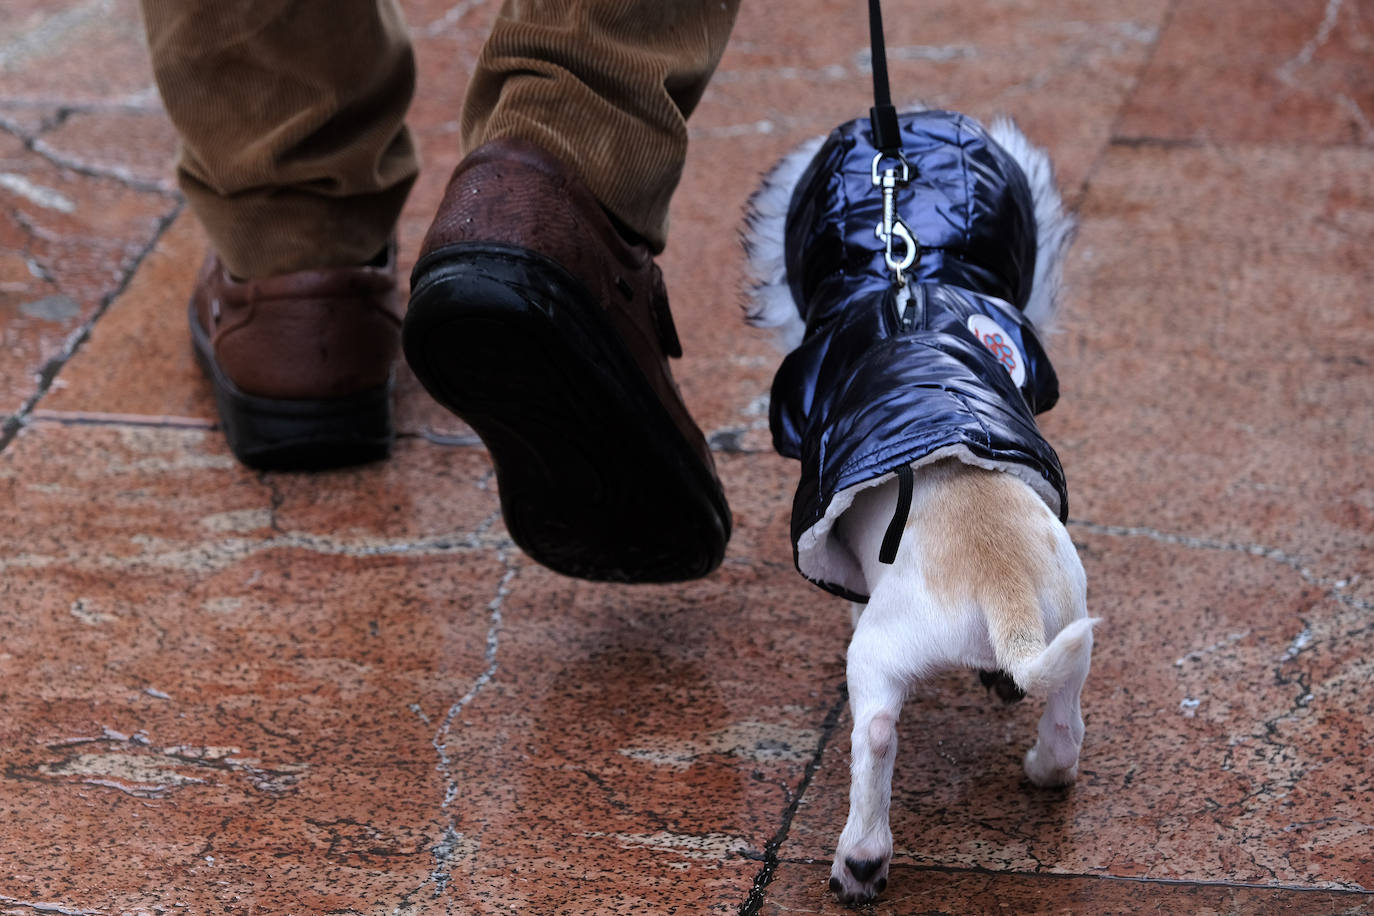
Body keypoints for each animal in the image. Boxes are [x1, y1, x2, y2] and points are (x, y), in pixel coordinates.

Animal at [747, 109, 1099, 900]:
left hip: (881, 655)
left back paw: (860, 861)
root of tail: (1005, 594)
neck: (908, 291)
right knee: (1065, 726)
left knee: (876, 734)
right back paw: (1043, 769)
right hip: (1073, 631)